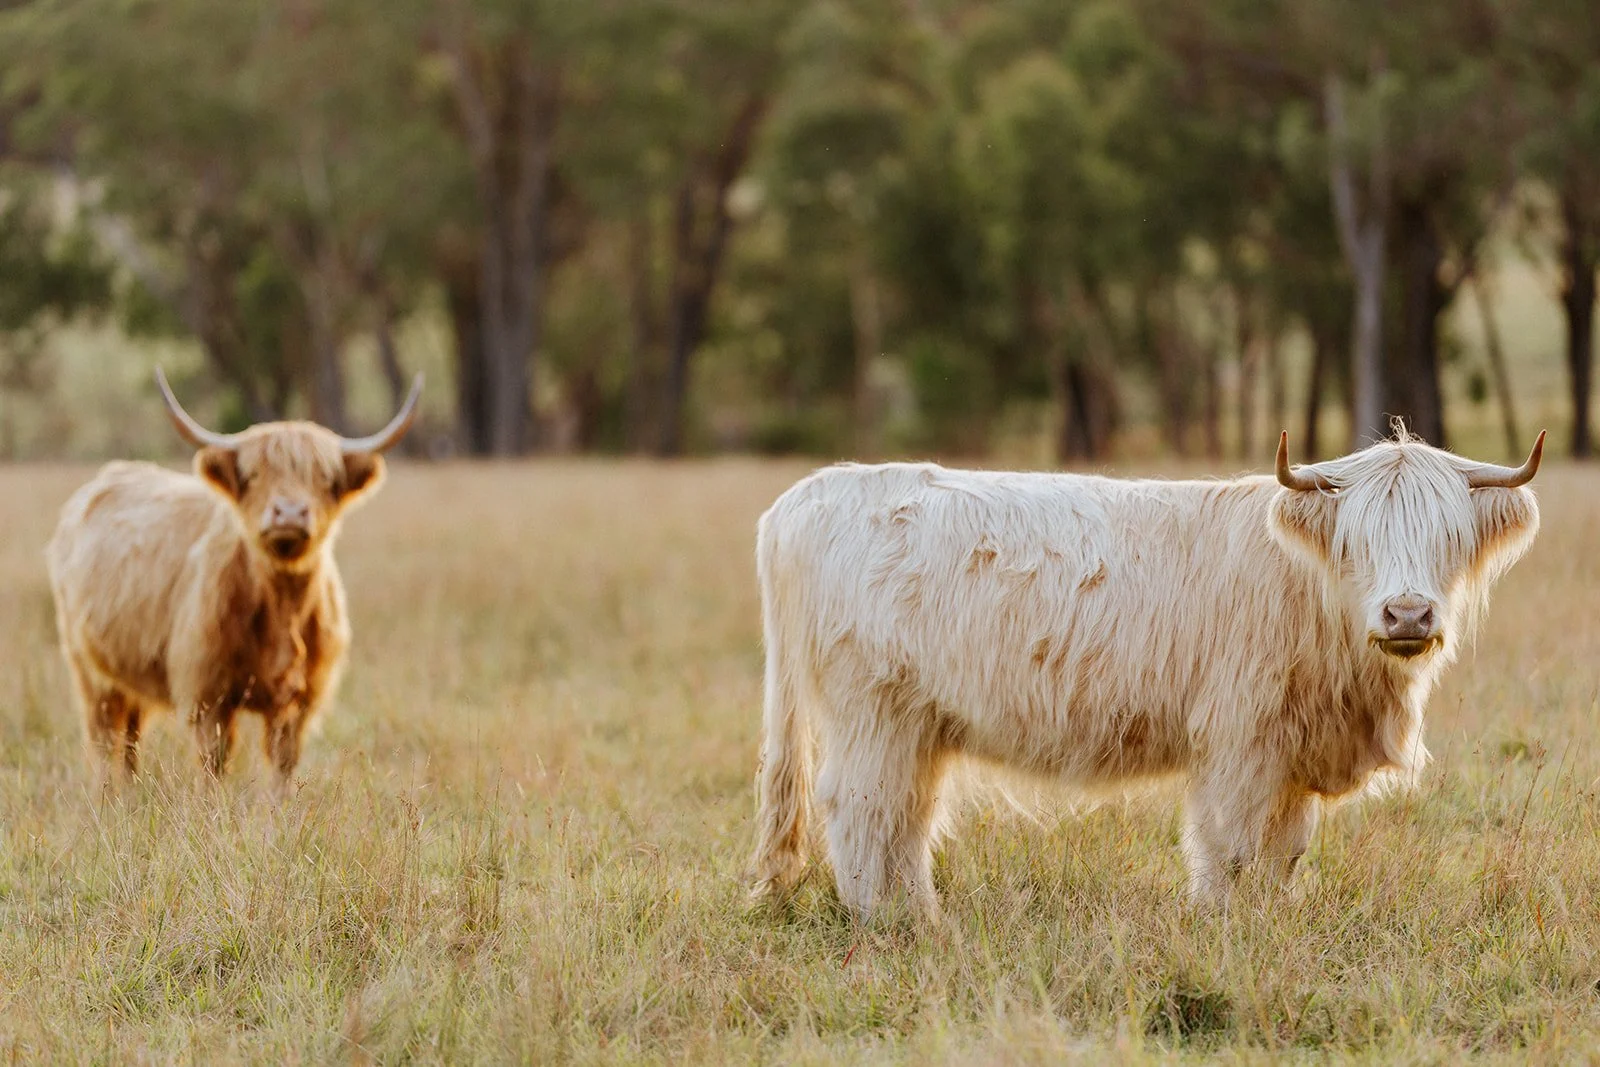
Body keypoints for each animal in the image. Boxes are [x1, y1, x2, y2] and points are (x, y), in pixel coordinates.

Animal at [46, 370, 422, 793]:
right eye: (254, 474)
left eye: (325, 478)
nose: (289, 513)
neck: (282, 607)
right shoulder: (207, 695)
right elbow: (215, 762)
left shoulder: (300, 701)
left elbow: (283, 763)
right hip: (90, 672)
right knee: (103, 738)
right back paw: (107, 796)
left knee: (129, 738)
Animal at [748, 428, 1543, 919]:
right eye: (1357, 540)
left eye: (1448, 537)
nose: (1407, 613)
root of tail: (806, 498)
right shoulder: (1239, 744)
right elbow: (1234, 848)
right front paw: (1224, 926)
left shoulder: (1289, 756)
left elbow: (1284, 853)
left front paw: (1272, 923)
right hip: (871, 711)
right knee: (861, 811)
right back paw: (887, 924)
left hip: (916, 725)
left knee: (905, 819)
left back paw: (919, 916)